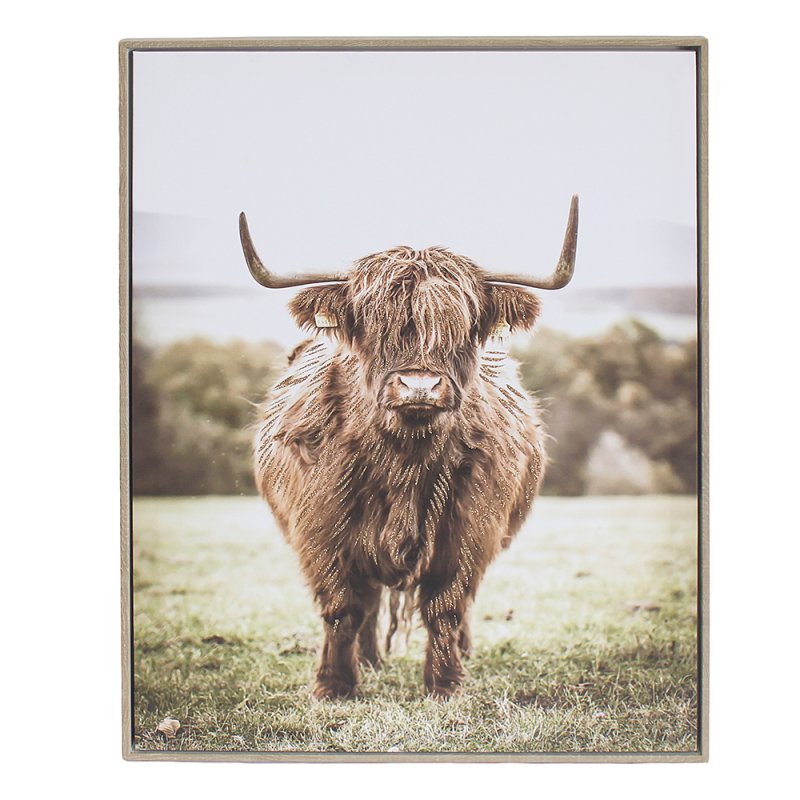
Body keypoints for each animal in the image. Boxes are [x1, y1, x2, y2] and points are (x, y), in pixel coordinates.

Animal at [239, 197, 578, 699]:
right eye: (372, 324)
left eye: (462, 326)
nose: (420, 385)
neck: (404, 460)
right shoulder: (322, 532)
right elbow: (342, 607)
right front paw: (334, 684)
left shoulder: (470, 531)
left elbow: (446, 607)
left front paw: (446, 684)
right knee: (368, 601)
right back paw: (368, 661)